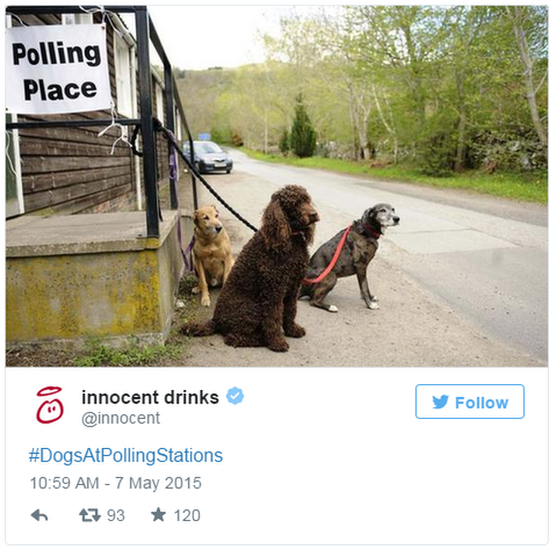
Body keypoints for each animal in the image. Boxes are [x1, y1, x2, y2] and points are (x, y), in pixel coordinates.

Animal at [183, 185, 318, 352]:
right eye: (295, 203)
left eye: (307, 200)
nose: (314, 214)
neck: (290, 240)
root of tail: (216, 320)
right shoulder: (273, 291)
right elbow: (274, 318)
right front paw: (276, 341)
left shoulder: (293, 288)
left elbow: (290, 310)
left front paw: (292, 329)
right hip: (253, 308)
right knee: (232, 338)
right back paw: (262, 339)